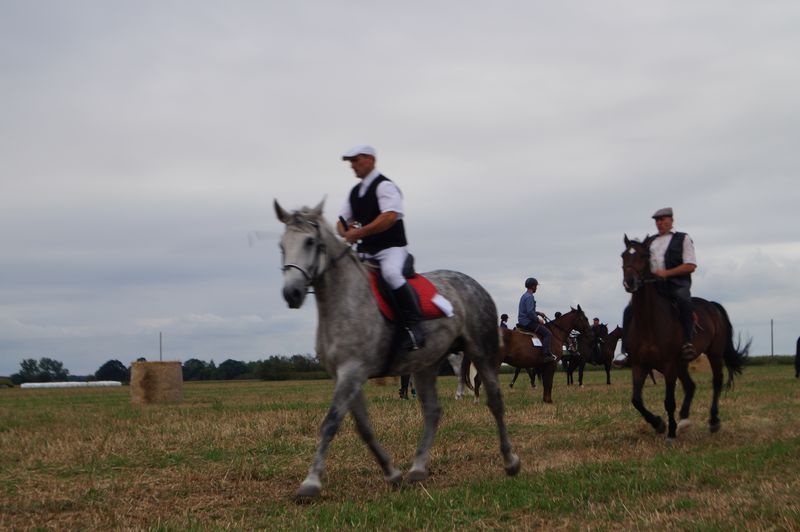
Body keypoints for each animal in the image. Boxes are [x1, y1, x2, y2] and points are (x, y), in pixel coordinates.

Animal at [276, 201, 520, 498]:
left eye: (310, 242)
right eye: (282, 245)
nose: (292, 293)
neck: (342, 301)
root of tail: (473, 283)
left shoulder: (352, 372)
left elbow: (331, 423)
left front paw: (310, 482)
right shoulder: (345, 375)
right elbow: (364, 428)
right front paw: (391, 473)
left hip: (481, 352)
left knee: (494, 402)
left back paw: (510, 461)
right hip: (426, 364)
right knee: (433, 411)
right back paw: (418, 467)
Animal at [620, 236, 752, 440]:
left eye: (643, 256)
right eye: (623, 255)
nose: (630, 282)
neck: (649, 321)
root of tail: (712, 305)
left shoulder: (668, 365)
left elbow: (669, 401)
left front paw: (670, 432)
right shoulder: (640, 364)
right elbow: (636, 400)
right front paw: (658, 423)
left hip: (713, 354)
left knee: (717, 381)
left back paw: (713, 421)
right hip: (681, 364)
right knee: (691, 386)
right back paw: (684, 420)